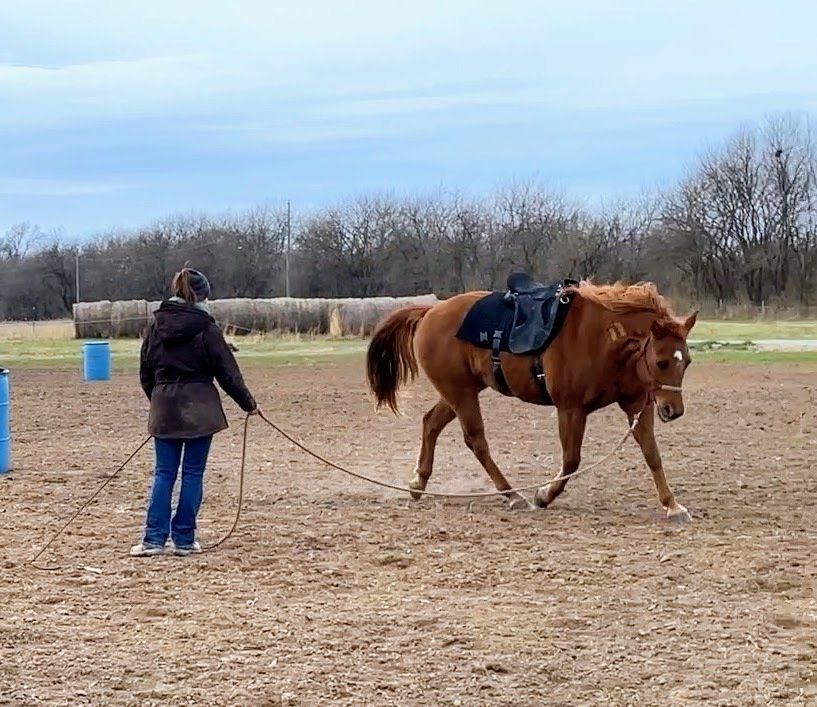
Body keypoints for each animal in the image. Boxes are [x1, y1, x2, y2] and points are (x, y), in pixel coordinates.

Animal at [365, 280, 698, 521]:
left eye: (687, 361)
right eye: (662, 361)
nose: (674, 410)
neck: (601, 339)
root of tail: (429, 313)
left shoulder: (637, 405)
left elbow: (652, 454)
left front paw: (672, 505)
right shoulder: (571, 409)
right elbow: (571, 460)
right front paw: (543, 495)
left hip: (461, 391)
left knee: (431, 423)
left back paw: (418, 484)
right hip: (460, 393)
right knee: (476, 441)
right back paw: (513, 495)